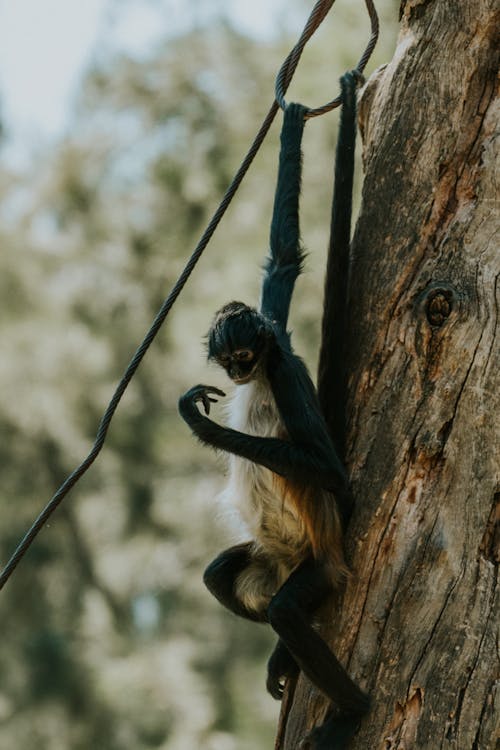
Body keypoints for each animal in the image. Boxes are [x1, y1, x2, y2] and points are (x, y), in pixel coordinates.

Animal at [180, 72, 368, 750]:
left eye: (245, 354)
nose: (236, 371)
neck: (264, 369)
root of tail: (297, 561)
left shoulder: (283, 366)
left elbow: (330, 471)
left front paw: (200, 424)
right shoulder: (276, 328)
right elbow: (284, 258)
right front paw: (294, 118)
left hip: (318, 565)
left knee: (288, 609)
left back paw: (350, 708)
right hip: (270, 558)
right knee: (219, 575)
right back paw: (284, 655)